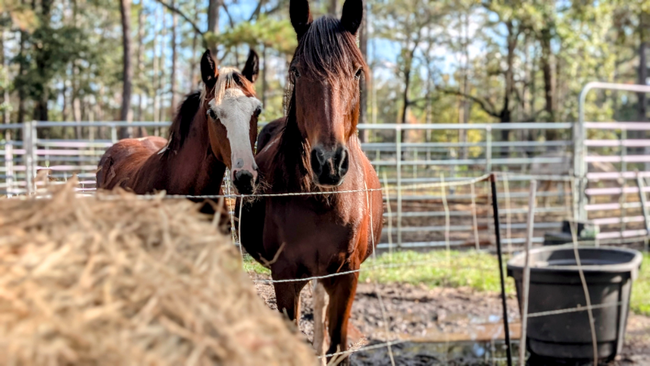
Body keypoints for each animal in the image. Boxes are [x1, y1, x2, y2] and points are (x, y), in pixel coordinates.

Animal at [238, 1, 380, 364]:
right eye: (297, 72)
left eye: (356, 72)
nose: (328, 162)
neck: (322, 201)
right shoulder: (284, 276)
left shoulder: (346, 275)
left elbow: (337, 345)